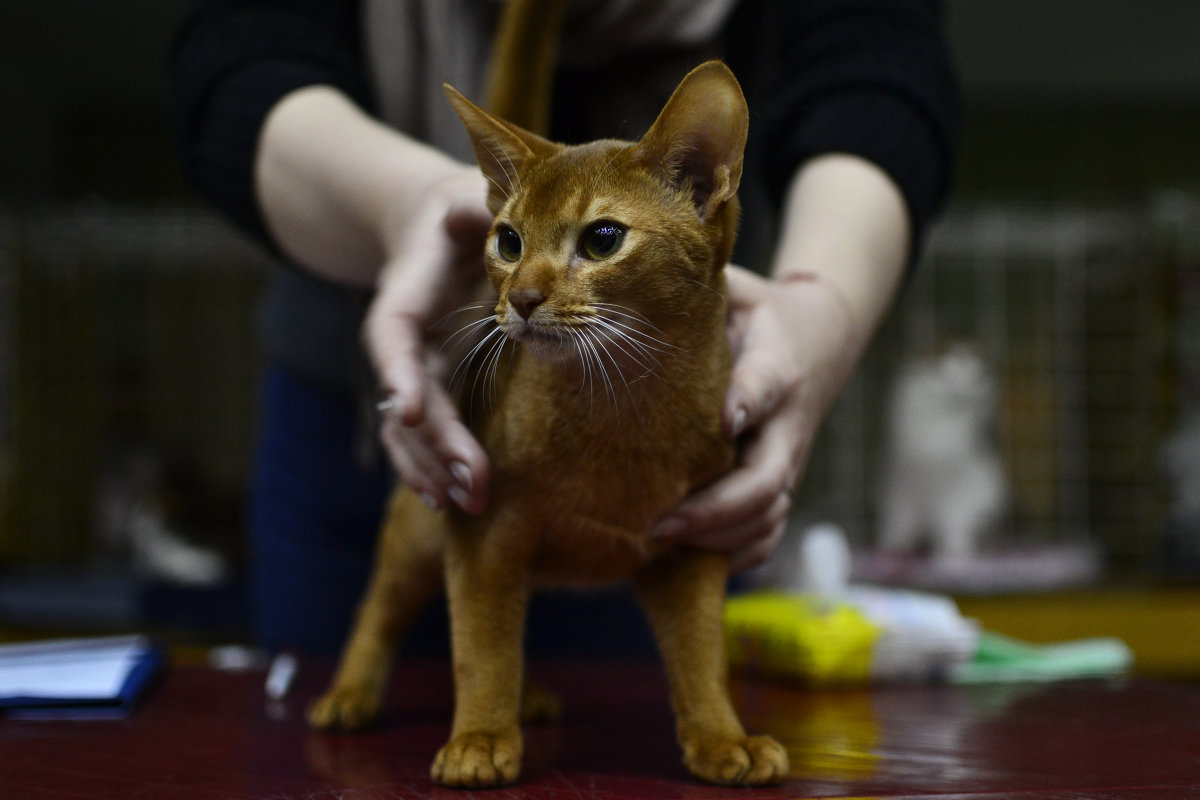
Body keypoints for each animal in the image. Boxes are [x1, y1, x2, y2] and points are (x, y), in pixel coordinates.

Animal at [307, 23, 787, 786]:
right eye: (508, 240)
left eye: (602, 239)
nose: (523, 298)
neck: (623, 406)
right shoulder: (482, 525)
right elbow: (481, 646)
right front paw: (479, 739)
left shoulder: (692, 544)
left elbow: (701, 654)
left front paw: (723, 739)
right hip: (422, 521)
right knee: (383, 605)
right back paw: (351, 694)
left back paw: (527, 697)